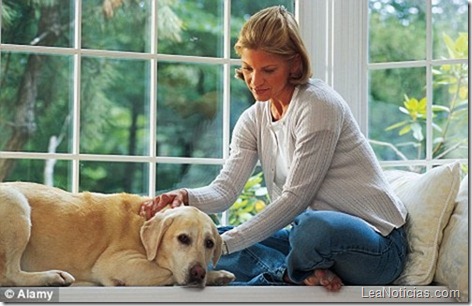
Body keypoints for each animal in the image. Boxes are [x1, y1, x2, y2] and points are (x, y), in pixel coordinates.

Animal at [0, 182, 235, 286]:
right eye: (183, 239)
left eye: (209, 243)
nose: (198, 273)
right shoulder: (116, 263)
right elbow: (168, 273)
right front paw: (214, 276)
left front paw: (216, 275)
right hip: (17, 205)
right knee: (9, 274)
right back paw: (52, 277)